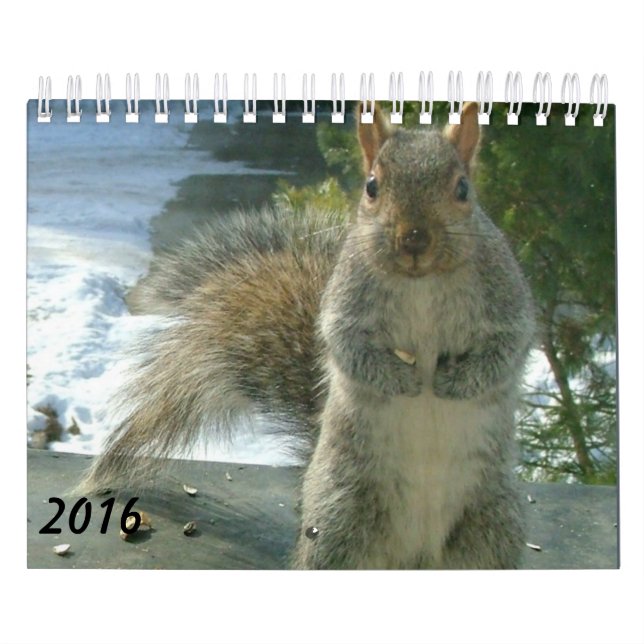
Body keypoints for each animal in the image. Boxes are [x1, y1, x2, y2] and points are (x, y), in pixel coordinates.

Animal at [79, 102, 535, 569]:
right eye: (372, 186)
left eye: (463, 189)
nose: (413, 239)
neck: (420, 282)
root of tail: (414, 557)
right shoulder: (344, 303)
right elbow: (348, 347)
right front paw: (399, 378)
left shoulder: (507, 298)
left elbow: (507, 348)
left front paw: (457, 380)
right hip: (339, 514)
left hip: (492, 522)